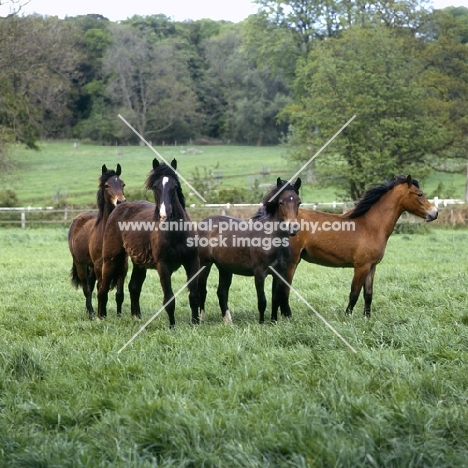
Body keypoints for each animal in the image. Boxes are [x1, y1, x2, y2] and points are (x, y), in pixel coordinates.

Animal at [67, 163, 126, 320]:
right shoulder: (101, 266)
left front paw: (119, 316)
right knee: (87, 288)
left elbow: (119, 295)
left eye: (123, 184)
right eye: (106, 185)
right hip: (80, 263)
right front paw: (102, 316)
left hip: (92, 267)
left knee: (91, 286)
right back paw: (92, 314)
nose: (120, 202)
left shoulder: (123, 267)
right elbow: (101, 291)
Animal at [98, 157, 200, 326]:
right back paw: (100, 318)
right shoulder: (163, 266)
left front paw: (196, 323)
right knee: (102, 288)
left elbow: (194, 296)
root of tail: (119, 208)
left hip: (138, 263)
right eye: (155, 187)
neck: (176, 233)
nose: (165, 215)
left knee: (134, 287)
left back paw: (136, 316)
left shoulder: (192, 262)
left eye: (175, 186)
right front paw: (172, 326)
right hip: (111, 259)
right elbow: (169, 299)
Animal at [197, 177, 300, 324]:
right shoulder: (259, 273)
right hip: (205, 264)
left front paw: (273, 321)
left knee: (222, 292)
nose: (293, 227)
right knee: (202, 290)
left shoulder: (279, 273)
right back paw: (201, 319)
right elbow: (262, 301)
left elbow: (275, 298)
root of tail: (203, 222)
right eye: (281, 202)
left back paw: (228, 321)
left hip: (224, 268)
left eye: (299, 202)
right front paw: (261, 323)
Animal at [288, 176, 438, 318]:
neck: (370, 227)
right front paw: (347, 317)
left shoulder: (371, 266)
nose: (435, 213)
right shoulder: (361, 267)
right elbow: (354, 294)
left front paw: (367, 317)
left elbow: (368, 294)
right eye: (419, 194)